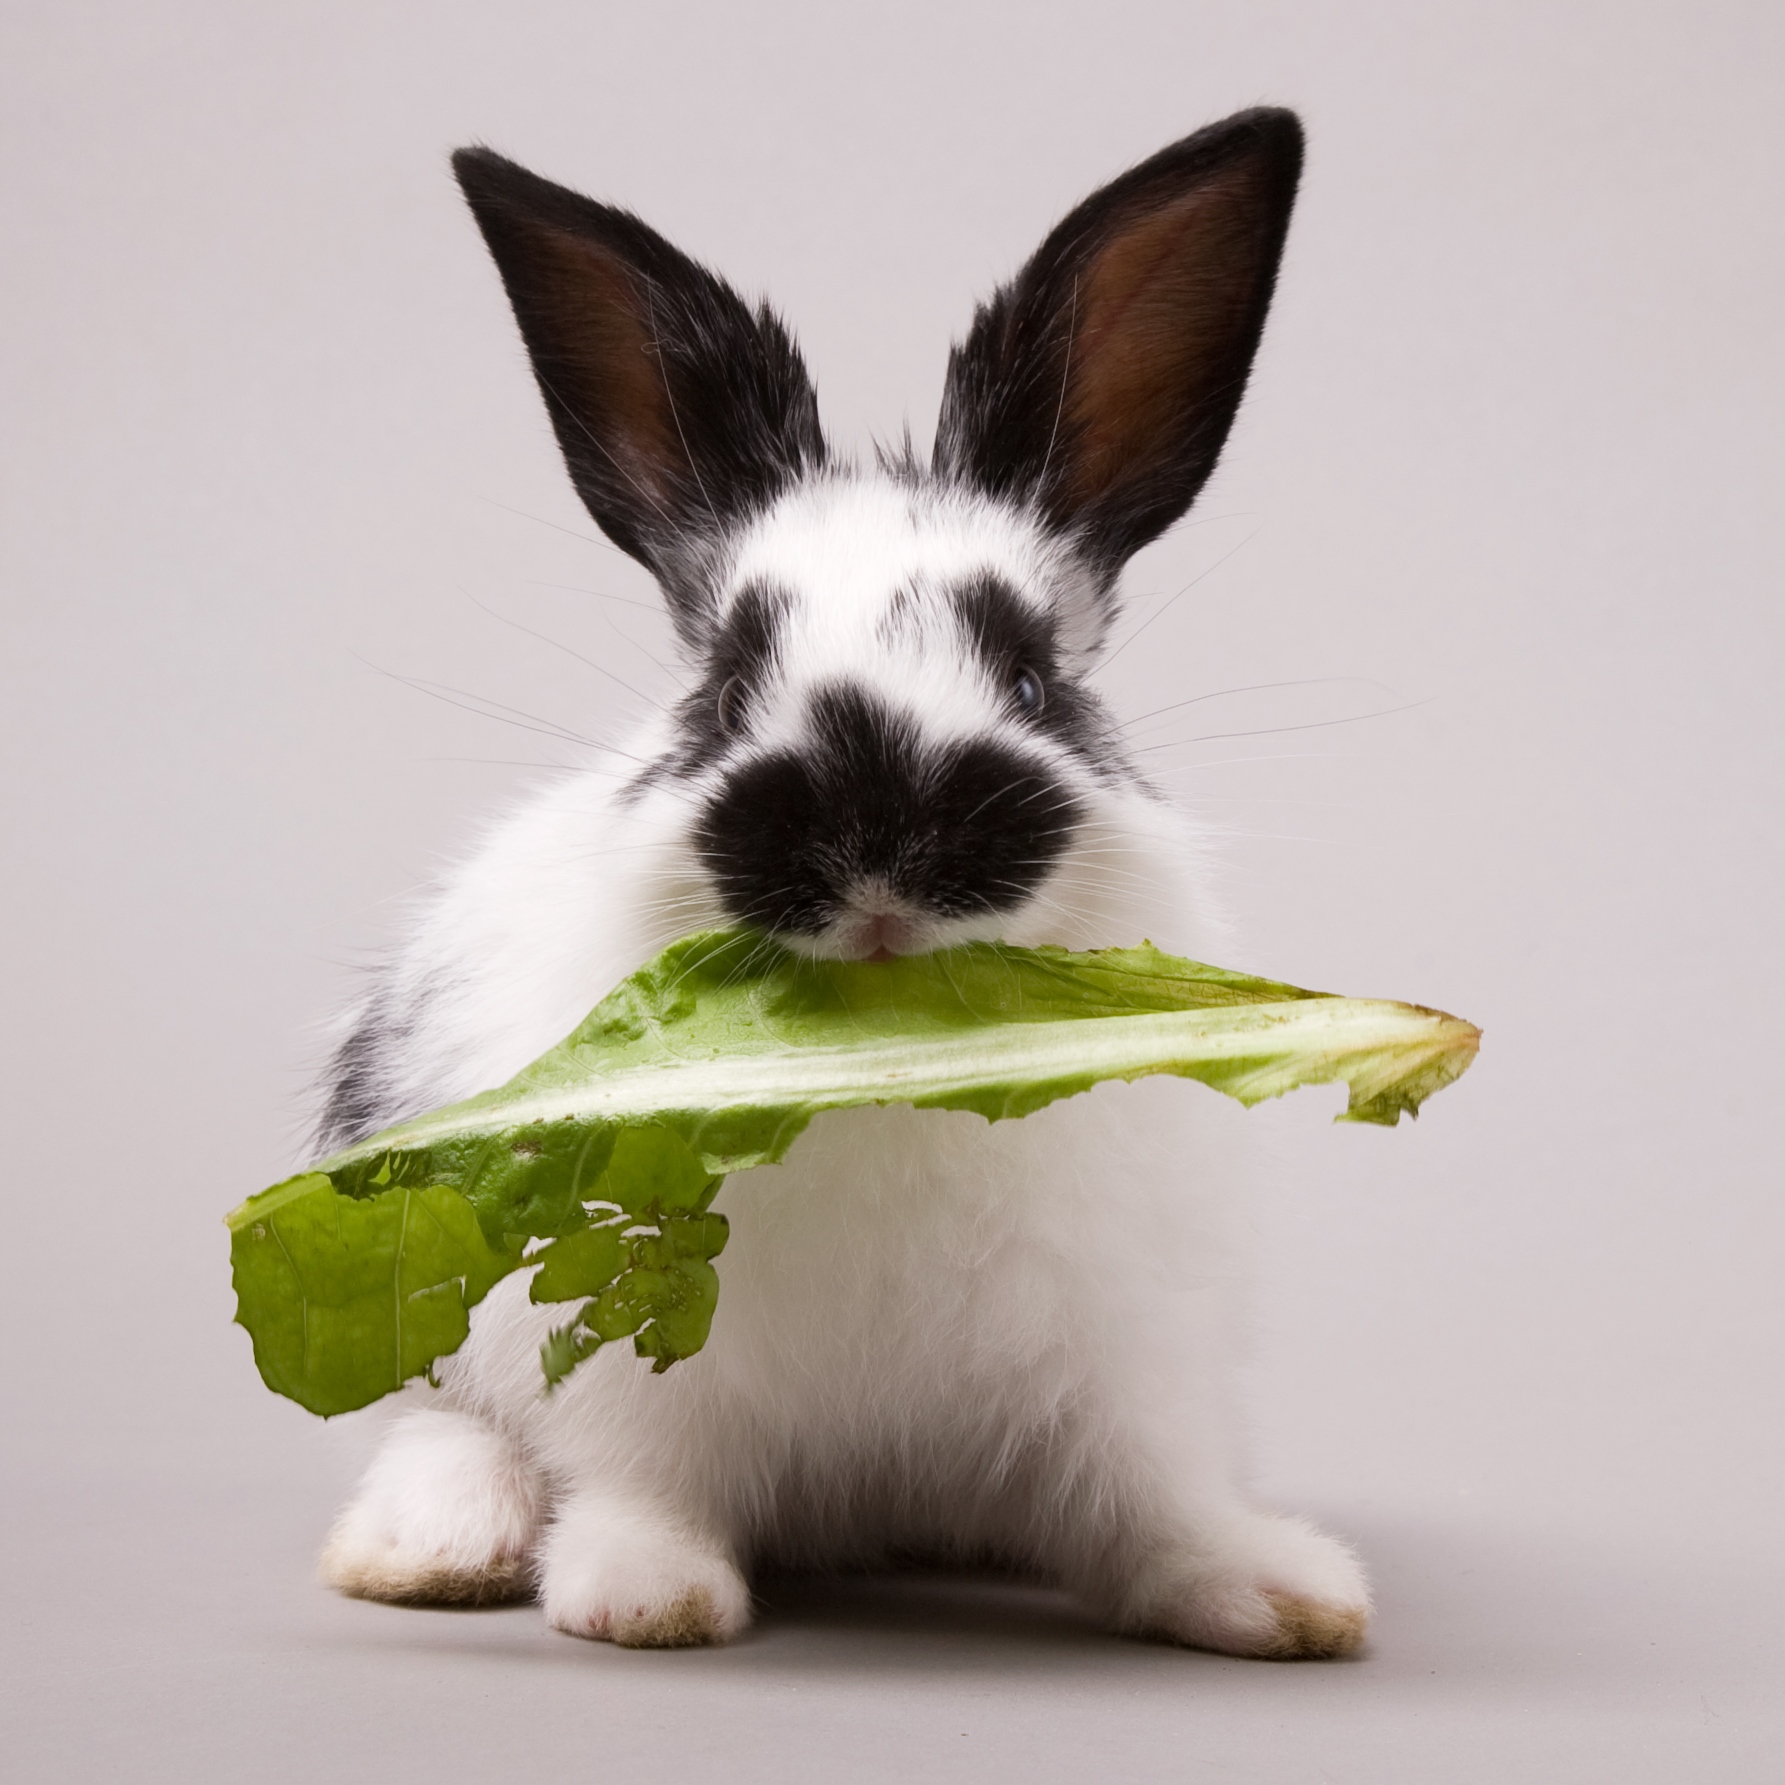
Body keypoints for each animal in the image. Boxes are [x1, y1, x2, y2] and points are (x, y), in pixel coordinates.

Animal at [313, 106, 1372, 1659]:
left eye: (1033, 677)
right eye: (722, 684)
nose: (876, 826)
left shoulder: (1130, 1361)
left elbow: (1150, 1501)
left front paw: (1278, 1594)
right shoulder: (634, 1353)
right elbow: (645, 1474)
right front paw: (645, 1596)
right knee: (440, 1424)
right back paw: (431, 1548)